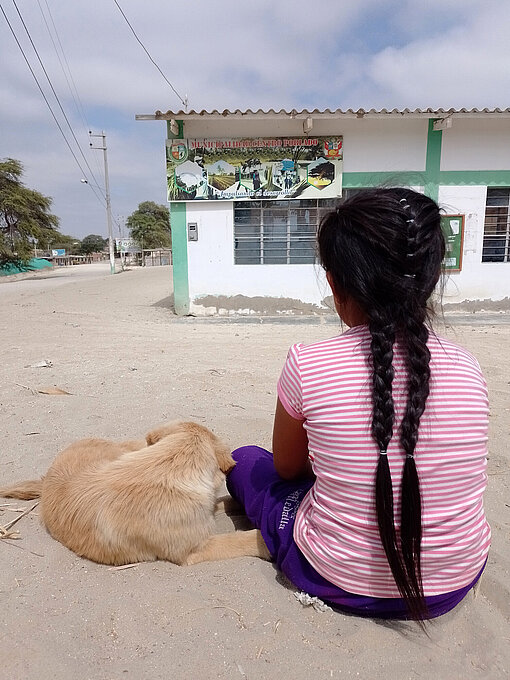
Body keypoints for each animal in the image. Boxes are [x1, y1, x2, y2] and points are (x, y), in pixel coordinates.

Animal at [0, 422, 270, 564]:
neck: (169, 467)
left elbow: (221, 501)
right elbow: (239, 540)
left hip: (130, 449)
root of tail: (45, 480)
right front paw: (264, 543)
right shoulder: (196, 548)